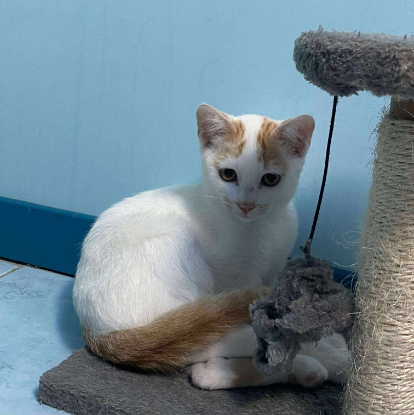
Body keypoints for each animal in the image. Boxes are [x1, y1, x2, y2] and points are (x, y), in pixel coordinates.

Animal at [73, 104, 350, 390]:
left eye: (271, 179)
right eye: (228, 174)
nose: (246, 204)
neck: (259, 227)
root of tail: (94, 329)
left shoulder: (272, 268)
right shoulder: (233, 279)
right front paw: (335, 355)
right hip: (178, 252)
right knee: (200, 340)